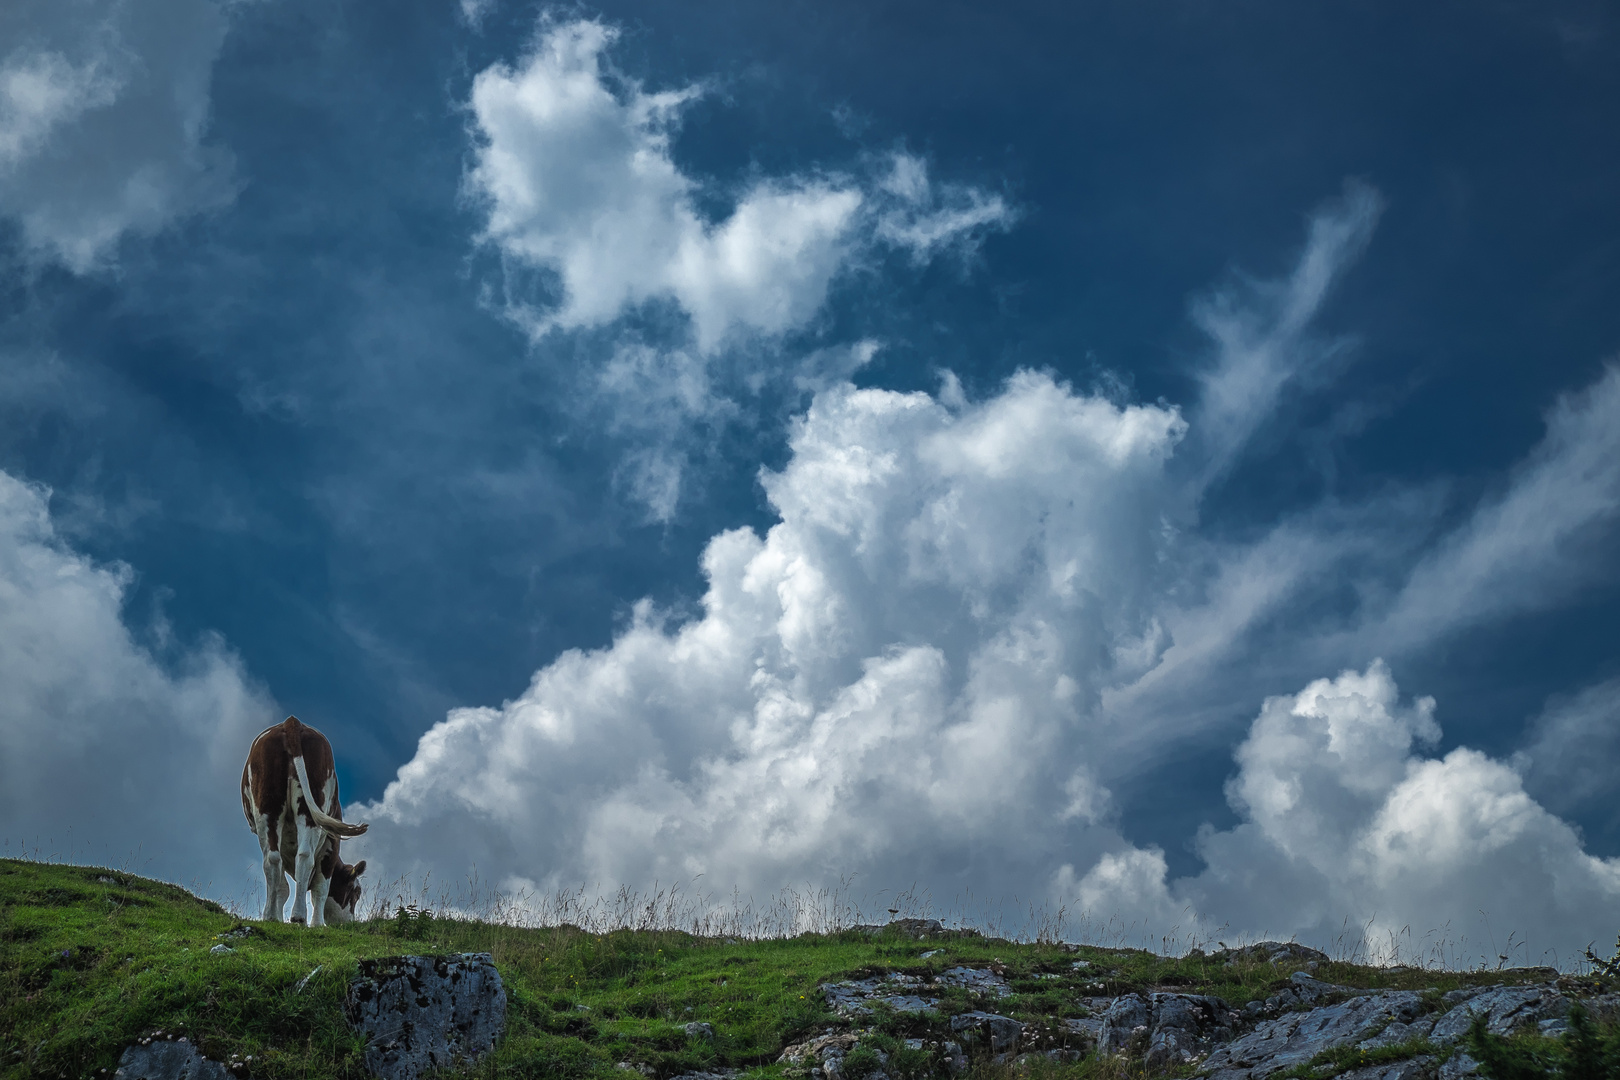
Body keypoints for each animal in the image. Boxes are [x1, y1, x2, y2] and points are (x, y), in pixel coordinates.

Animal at [239, 718, 370, 932]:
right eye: (356, 892)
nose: (350, 923)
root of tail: (292, 722)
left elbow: (282, 886)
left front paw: (276, 918)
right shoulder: (332, 842)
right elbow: (321, 887)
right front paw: (317, 924)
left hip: (268, 807)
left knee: (273, 859)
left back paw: (274, 915)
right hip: (309, 809)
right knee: (305, 858)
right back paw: (300, 917)